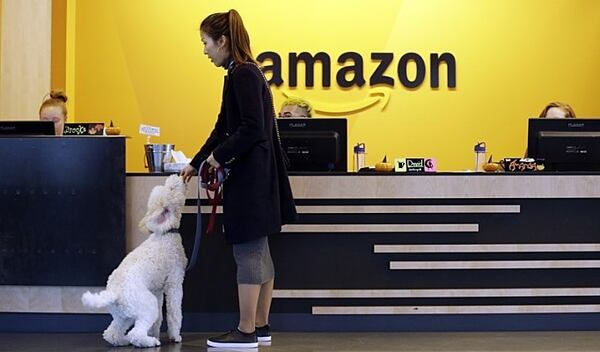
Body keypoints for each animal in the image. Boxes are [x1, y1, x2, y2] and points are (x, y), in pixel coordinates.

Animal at [81, 175, 186, 348]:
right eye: (171, 189)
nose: (177, 177)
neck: (165, 234)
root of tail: (113, 292)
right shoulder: (174, 283)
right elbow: (174, 312)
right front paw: (175, 336)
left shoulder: (157, 290)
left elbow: (159, 319)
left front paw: (155, 332)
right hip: (146, 305)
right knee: (135, 333)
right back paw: (150, 342)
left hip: (124, 314)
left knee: (112, 333)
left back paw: (124, 340)